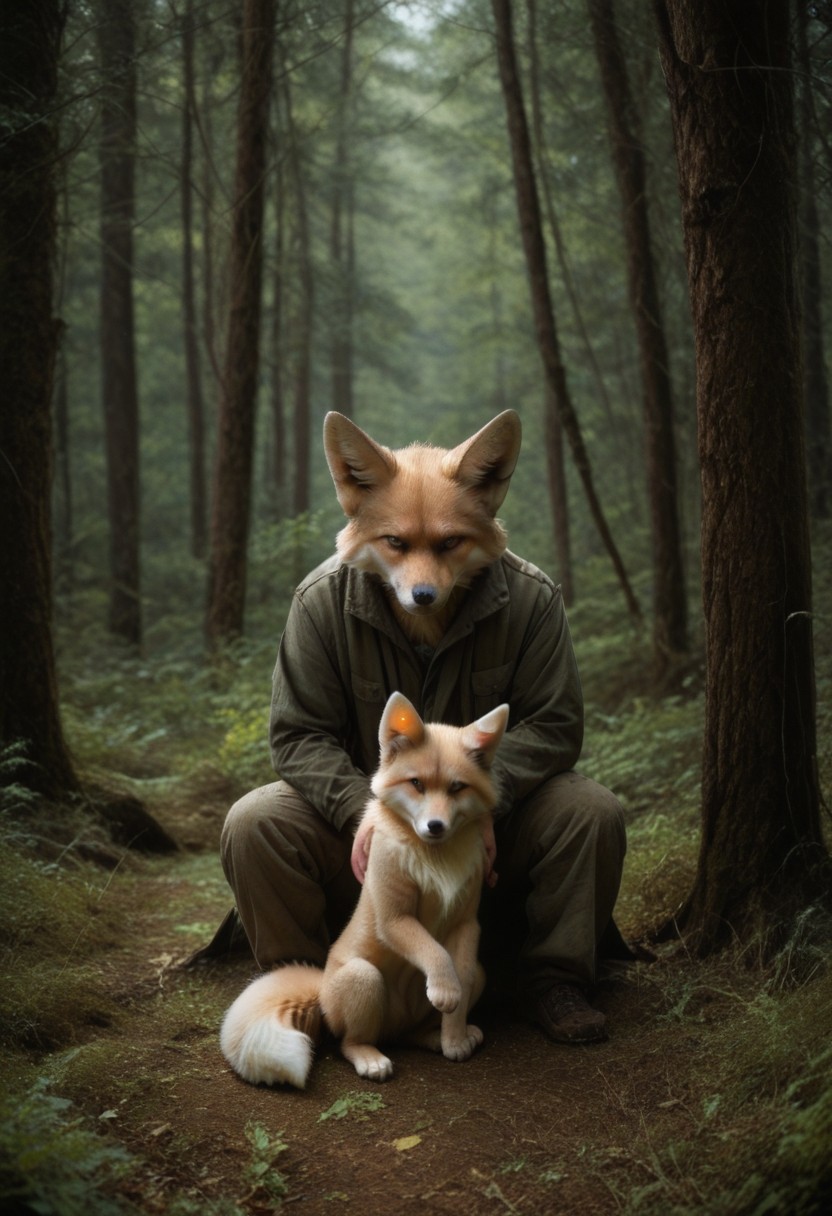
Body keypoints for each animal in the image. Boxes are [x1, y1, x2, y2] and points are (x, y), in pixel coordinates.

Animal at [220, 690, 509, 1088]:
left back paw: (437, 1037)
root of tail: (322, 990)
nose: (435, 826)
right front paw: (445, 990)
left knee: (411, 1033)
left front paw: (454, 1036)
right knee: (349, 1042)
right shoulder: (394, 918)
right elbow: (434, 952)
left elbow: (458, 976)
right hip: (364, 978)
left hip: (470, 979)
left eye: (456, 787)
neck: (434, 859)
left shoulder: (466, 923)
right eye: (416, 784)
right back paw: (371, 1059)